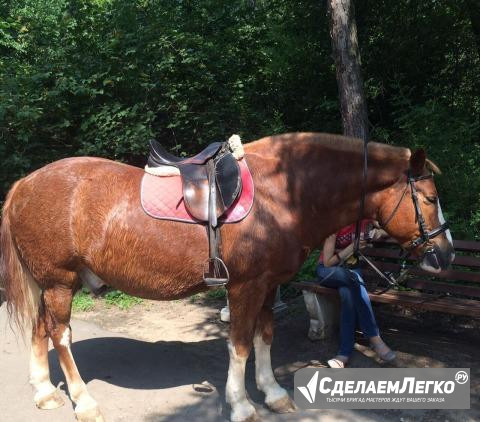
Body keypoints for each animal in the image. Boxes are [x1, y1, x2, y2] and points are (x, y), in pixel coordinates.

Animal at [0, 133, 454, 422]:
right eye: (430, 198)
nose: (446, 254)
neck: (280, 194)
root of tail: (24, 184)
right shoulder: (245, 287)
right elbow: (239, 345)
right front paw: (241, 405)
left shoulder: (269, 286)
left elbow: (264, 338)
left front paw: (273, 394)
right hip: (59, 282)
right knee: (60, 335)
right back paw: (84, 401)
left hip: (49, 283)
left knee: (40, 329)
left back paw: (44, 392)